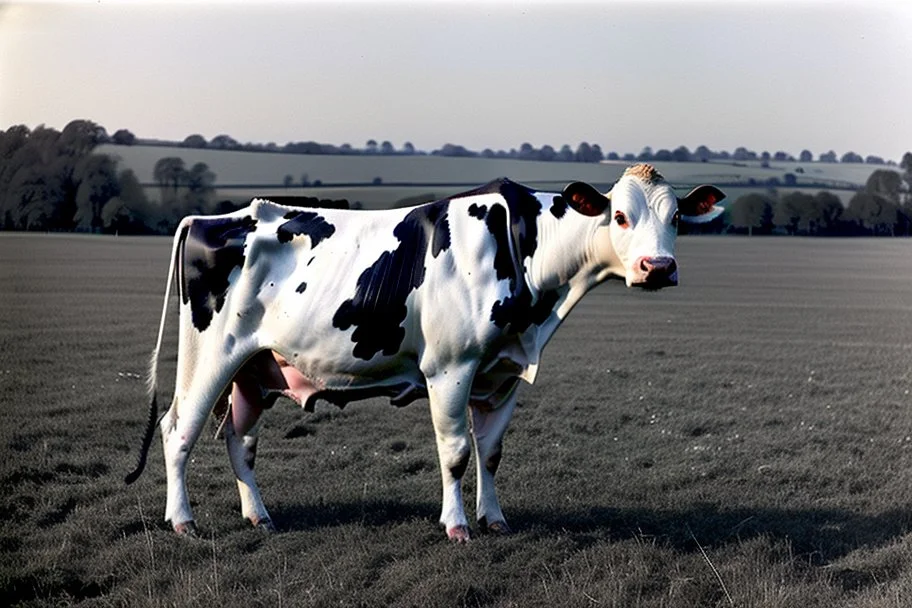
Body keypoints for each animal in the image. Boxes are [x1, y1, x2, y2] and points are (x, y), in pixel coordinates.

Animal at [126, 163, 728, 540]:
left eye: (676, 219)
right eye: (620, 216)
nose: (658, 268)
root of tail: (214, 218)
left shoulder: (501, 373)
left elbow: (491, 452)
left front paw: (495, 519)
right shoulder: (450, 368)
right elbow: (456, 451)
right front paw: (457, 525)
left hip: (255, 368)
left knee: (240, 439)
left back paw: (259, 517)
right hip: (209, 356)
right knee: (179, 429)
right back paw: (182, 520)